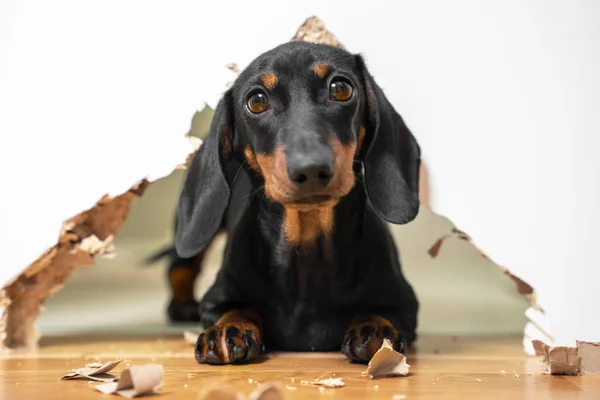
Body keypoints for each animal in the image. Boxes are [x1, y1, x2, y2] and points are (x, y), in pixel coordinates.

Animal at [155, 41, 422, 366]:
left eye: (341, 88)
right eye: (257, 101)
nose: (310, 170)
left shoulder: (404, 301)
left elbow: (382, 311)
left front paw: (374, 328)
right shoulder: (217, 297)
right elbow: (234, 307)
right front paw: (229, 328)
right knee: (179, 265)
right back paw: (182, 305)